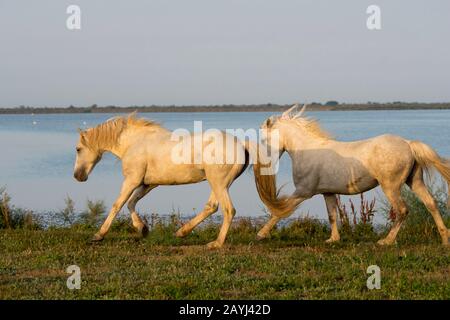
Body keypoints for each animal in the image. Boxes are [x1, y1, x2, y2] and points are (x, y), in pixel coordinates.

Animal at [74, 114, 268, 249]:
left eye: (78, 149)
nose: (77, 176)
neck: (134, 143)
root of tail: (241, 144)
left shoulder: (132, 180)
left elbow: (117, 204)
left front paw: (98, 235)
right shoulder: (148, 184)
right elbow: (131, 203)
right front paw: (142, 229)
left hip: (218, 183)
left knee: (228, 210)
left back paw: (215, 243)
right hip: (220, 183)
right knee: (211, 207)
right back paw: (182, 232)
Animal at [253, 105, 450, 245]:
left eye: (263, 138)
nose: (261, 160)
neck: (306, 150)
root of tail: (408, 143)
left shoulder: (303, 192)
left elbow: (279, 212)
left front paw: (261, 234)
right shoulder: (327, 192)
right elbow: (332, 215)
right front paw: (333, 239)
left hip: (391, 186)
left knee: (402, 210)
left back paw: (386, 241)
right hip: (414, 181)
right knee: (431, 204)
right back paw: (445, 239)